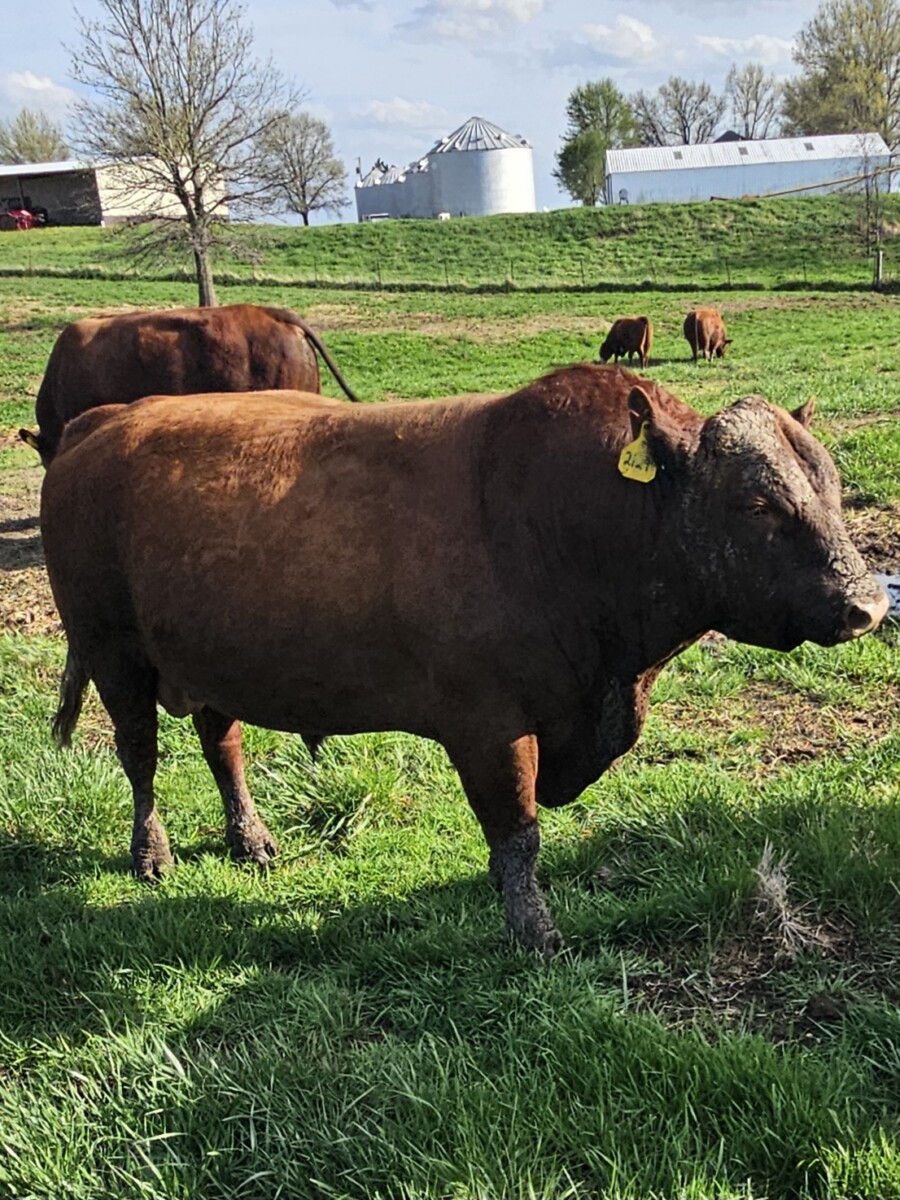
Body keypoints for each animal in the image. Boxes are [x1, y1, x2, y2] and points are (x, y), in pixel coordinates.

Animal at [39, 365, 887, 955]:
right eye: (756, 503)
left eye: (832, 486)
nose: (868, 605)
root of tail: (104, 422)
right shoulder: (487, 724)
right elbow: (517, 830)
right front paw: (533, 931)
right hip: (114, 651)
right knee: (140, 755)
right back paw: (151, 852)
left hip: (210, 657)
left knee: (223, 744)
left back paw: (251, 839)